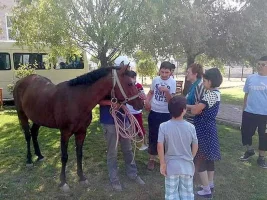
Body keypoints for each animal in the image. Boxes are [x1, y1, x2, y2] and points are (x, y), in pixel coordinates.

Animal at [13, 65, 144, 191]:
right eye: (130, 83)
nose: (141, 103)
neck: (77, 100)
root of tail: (21, 81)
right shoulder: (65, 133)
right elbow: (64, 157)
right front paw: (63, 182)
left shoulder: (81, 132)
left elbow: (79, 154)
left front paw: (81, 177)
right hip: (22, 114)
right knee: (28, 135)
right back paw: (29, 160)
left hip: (38, 118)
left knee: (34, 133)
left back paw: (39, 155)